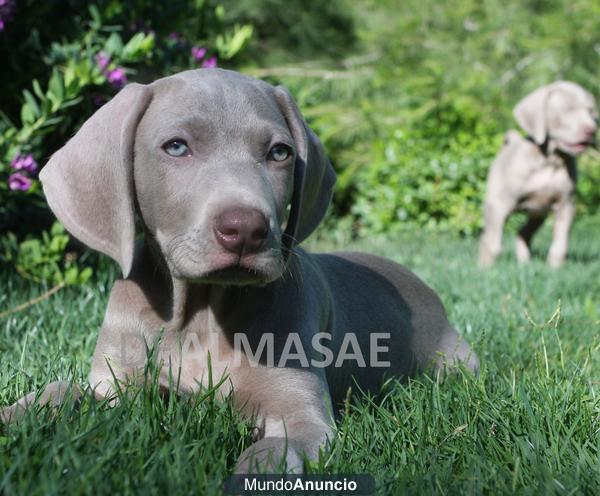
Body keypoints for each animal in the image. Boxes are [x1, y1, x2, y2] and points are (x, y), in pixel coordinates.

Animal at [0, 69, 478, 472]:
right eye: (176, 146)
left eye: (280, 152)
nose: (245, 229)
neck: (200, 314)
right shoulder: (117, 385)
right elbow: (62, 390)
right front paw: (14, 415)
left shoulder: (301, 415)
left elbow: (269, 454)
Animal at [478, 81, 596, 268]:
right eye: (567, 110)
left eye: (592, 113)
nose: (591, 131)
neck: (551, 161)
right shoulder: (499, 204)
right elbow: (493, 244)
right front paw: (486, 270)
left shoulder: (566, 205)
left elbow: (560, 245)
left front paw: (555, 269)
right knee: (487, 236)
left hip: (538, 212)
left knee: (523, 232)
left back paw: (524, 264)